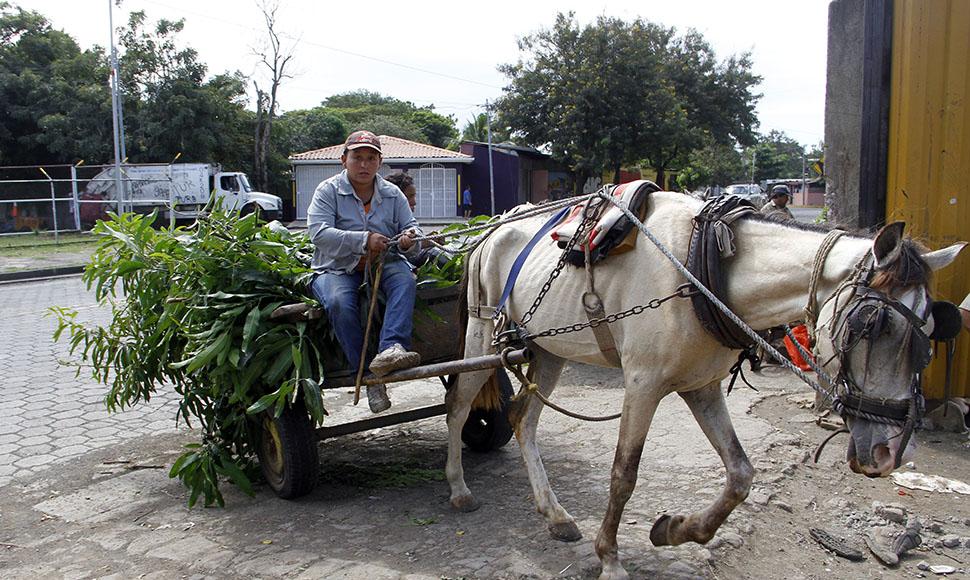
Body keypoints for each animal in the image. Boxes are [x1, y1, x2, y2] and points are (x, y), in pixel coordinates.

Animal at [442, 191, 964, 580]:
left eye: (929, 332)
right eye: (871, 323)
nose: (887, 454)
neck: (705, 267)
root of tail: (493, 226)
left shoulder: (702, 385)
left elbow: (741, 475)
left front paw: (676, 529)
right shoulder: (643, 383)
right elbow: (623, 474)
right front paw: (610, 557)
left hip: (548, 350)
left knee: (523, 419)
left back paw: (555, 515)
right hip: (482, 332)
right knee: (459, 406)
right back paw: (459, 489)